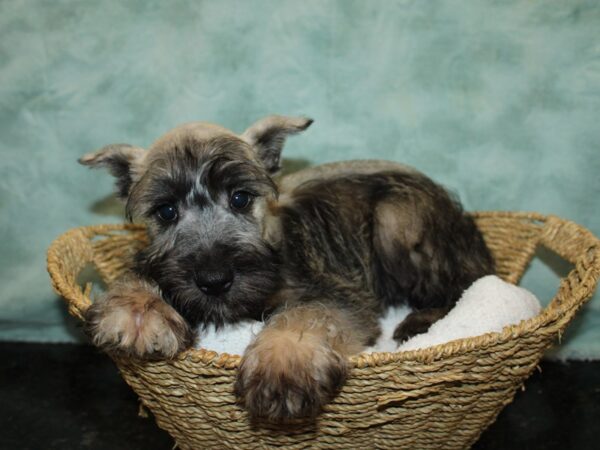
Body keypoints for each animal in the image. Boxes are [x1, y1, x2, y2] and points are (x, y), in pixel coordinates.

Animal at [78, 115, 492, 422]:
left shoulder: (341, 296)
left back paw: (419, 321)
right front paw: (136, 311)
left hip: (398, 218)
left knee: (466, 283)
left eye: (240, 198)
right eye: (165, 211)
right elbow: (143, 268)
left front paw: (283, 361)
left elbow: (308, 314)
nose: (214, 281)